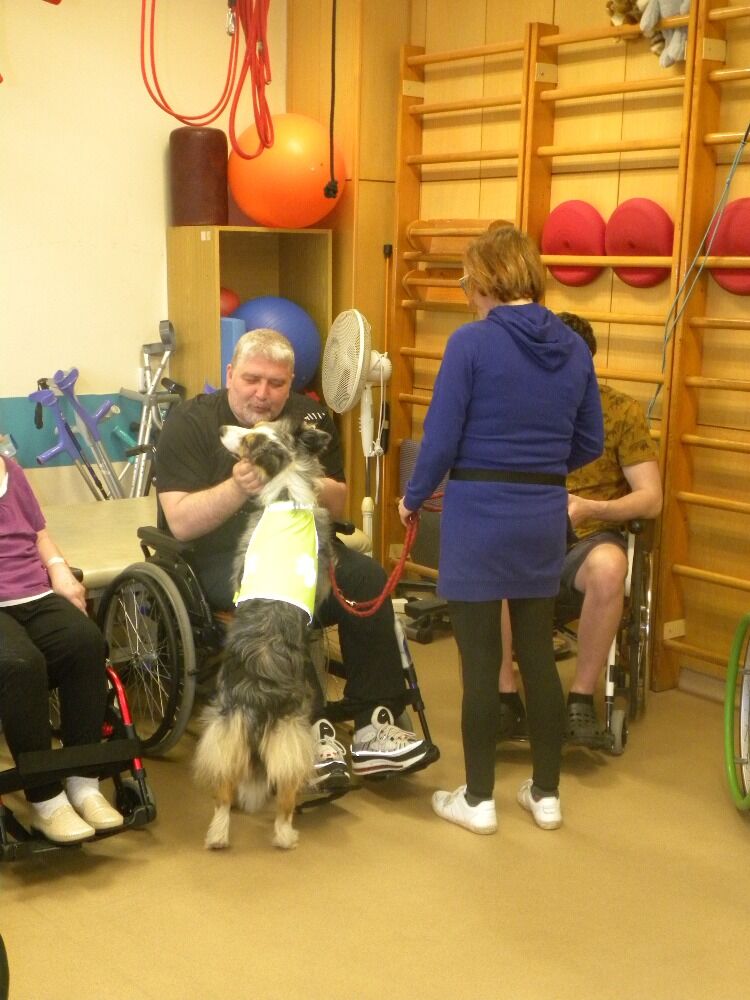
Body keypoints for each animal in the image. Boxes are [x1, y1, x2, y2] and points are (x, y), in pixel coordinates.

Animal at [193, 417, 334, 850]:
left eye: (250, 437)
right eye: (253, 426)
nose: (224, 428)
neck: (286, 488)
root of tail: (257, 695)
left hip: (229, 731)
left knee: (226, 794)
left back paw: (223, 834)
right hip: (286, 736)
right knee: (281, 796)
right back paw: (282, 835)